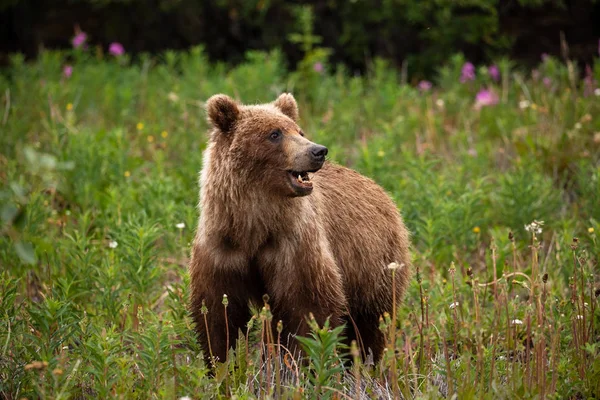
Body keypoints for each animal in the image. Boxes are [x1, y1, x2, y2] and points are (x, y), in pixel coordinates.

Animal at [190, 93, 410, 362]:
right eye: (274, 133)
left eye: (299, 131)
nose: (318, 151)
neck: (255, 223)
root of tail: (384, 193)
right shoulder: (222, 246)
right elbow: (217, 313)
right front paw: (222, 362)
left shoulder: (294, 244)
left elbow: (309, 307)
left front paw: (300, 360)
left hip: (374, 266)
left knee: (370, 324)